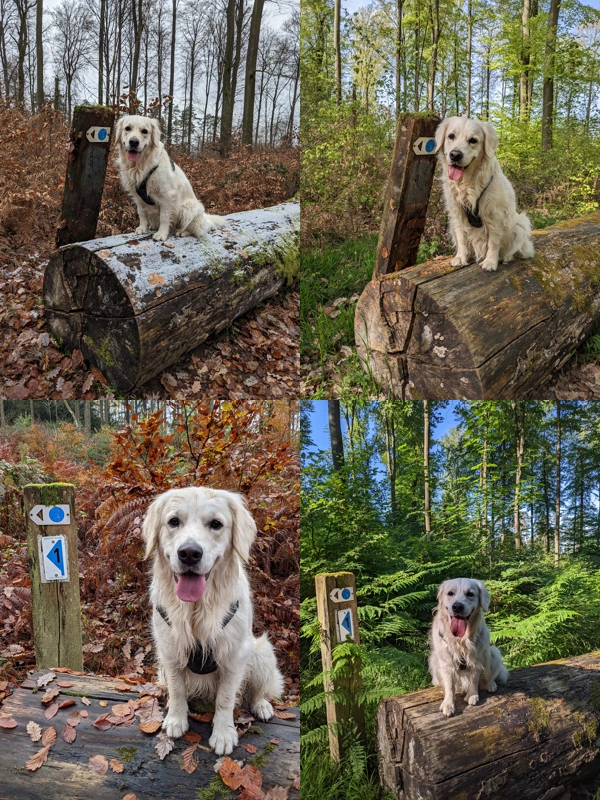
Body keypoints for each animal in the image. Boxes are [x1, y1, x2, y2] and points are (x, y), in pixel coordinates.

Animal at [141, 488, 284, 756]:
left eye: (216, 524)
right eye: (173, 521)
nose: (189, 553)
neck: (197, 608)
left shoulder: (235, 656)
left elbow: (226, 699)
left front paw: (224, 733)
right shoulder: (170, 651)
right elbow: (177, 689)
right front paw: (176, 719)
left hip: (261, 653)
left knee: (260, 691)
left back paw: (262, 705)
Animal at [428, 576, 508, 720]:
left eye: (470, 594)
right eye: (450, 593)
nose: (457, 606)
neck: (461, 639)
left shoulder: (476, 659)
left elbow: (474, 679)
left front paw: (472, 695)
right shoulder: (446, 663)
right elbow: (450, 686)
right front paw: (448, 704)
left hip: (494, 652)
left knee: (491, 676)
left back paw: (491, 685)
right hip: (433, 659)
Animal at [432, 115, 536, 272]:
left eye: (473, 140)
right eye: (451, 136)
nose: (455, 155)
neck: (467, 183)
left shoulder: (495, 214)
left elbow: (493, 241)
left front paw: (490, 262)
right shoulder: (457, 212)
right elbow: (462, 238)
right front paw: (461, 257)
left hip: (520, 223)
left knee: (515, 250)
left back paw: (505, 257)